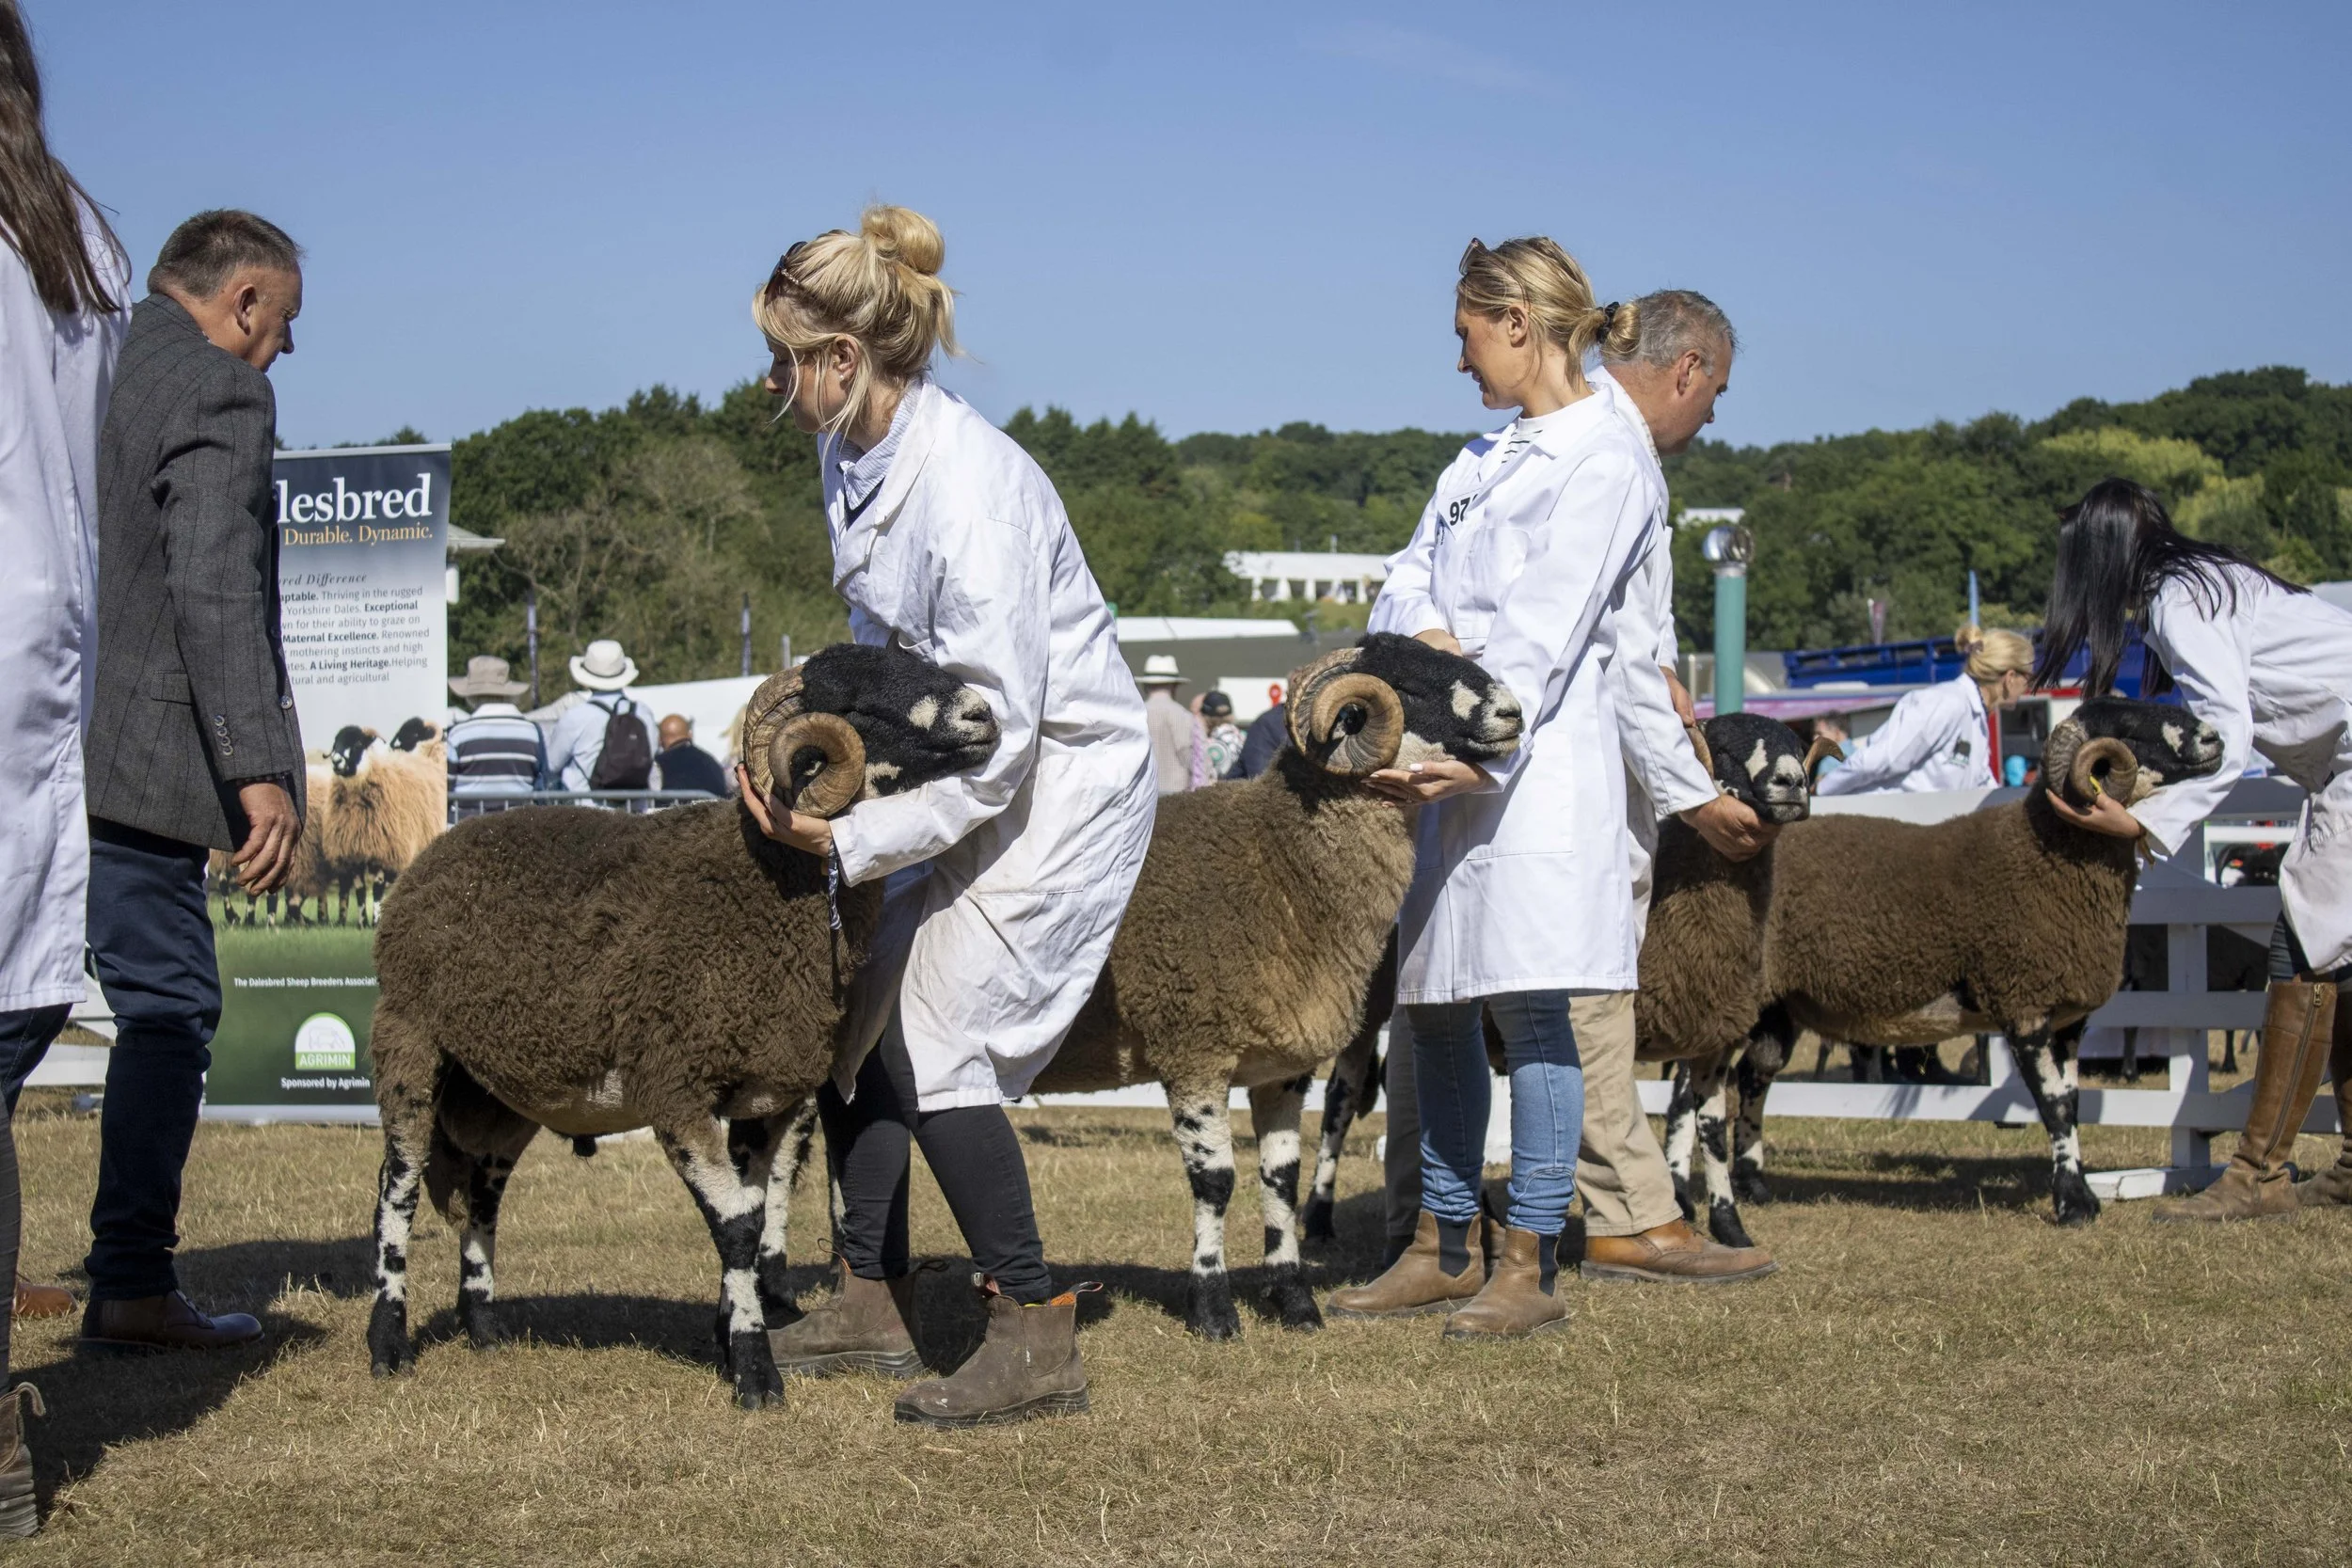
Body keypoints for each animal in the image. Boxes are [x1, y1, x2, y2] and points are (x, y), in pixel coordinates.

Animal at [323, 726, 445, 925]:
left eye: (358, 743)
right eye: (336, 744)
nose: (336, 761)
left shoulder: (383, 851)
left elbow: (377, 889)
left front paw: (375, 920)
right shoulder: (354, 853)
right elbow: (360, 890)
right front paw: (362, 922)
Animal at [364, 643, 1000, 1410]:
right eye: (857, 704)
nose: (983, 715)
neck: (760, 886)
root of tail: (435, 853)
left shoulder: (767, 1096)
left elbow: (755, 1221)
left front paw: (732, 1335)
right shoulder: (674, 1086)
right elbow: (736, 1230)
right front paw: (755, 1372)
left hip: (504, 1089)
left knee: (482, 1195)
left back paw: (484, 1326)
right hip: (409, 1039)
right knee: (397, 1187)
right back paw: (388, 1344)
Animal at [1022, 634, 1524, 1339]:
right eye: (1409, 685)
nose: (1512, 712)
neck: (1277, 861)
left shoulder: (1281, 1068)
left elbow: (1280, 1179)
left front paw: (1294, 1299)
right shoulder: (1193, 1049)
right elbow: (1216, 1182)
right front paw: (1212, 1309)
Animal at [1667, 698, 2226, 1242]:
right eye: (2129, 726)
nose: (2214, 739)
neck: (2045, 850)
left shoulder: (2069, 1017)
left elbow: (2072, 1102)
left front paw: (2083, 1193)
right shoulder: (2023, 1001)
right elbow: (2054, 1106)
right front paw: (2072, 1205)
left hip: (1776, 1010)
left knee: (1752, 1077)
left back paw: (1753, 1184)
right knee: (1684, 1098)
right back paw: (1683, 1202)